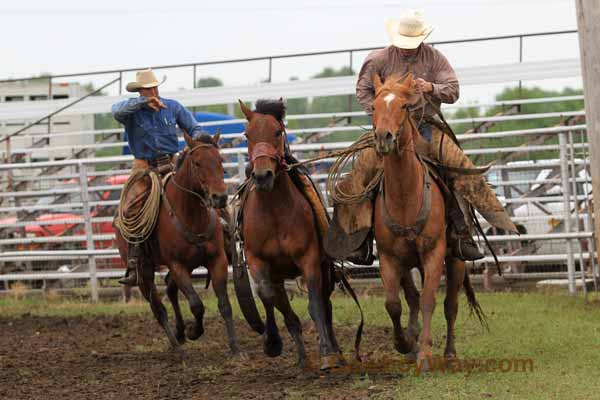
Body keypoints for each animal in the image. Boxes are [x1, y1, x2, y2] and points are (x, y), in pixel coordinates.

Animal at [114, 133, 239, 354]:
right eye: (197, 163)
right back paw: (177, 347)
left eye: (220, 160)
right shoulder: (177, 265)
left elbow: (224, 304)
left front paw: (235, 348)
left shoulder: (217, 261)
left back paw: (179, 333)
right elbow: (196, 304)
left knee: (170, 291)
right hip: (144, 273)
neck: (192, 216)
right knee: (158, 308)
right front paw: (193, 332)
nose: (220, 197)